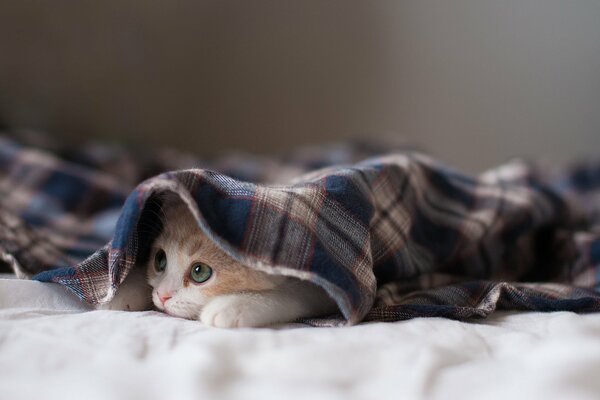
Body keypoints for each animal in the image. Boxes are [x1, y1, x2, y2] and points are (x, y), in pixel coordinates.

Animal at [101, 195, 340, 328]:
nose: (162, 296)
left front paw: (232, 305)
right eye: (160, 260)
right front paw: (122, 291)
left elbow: (296, 294)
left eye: (199, 272)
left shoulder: (325, 281)